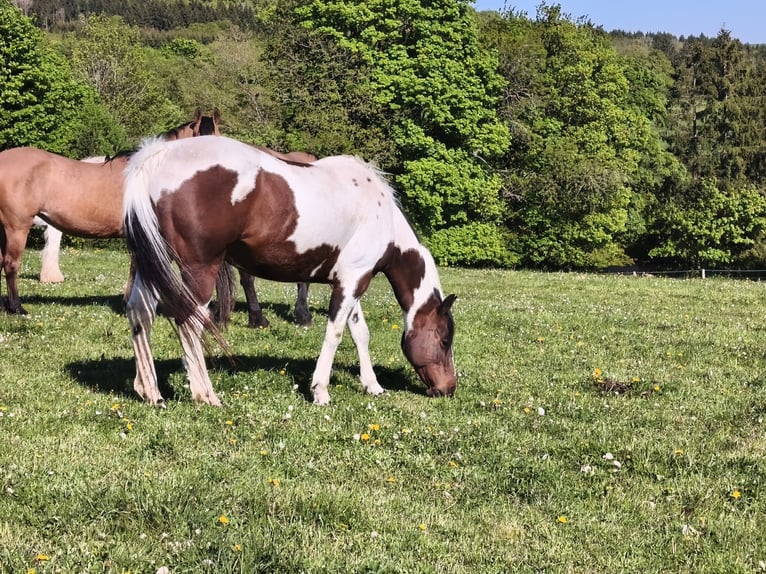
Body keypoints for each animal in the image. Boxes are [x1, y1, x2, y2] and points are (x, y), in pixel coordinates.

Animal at [123, 135, 457, 406]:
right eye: (444, 340)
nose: (448, 388)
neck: (380, 212)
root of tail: (158, 155)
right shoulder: (351, 282)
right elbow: (335, 333)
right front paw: (321, 391)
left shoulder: (351, 282)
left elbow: (360, 333)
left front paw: (372, 386)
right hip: (199, 270)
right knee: (189, 323)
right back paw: (205, 395)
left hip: (151, 268)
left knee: (140, 312)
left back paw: (150, 391)